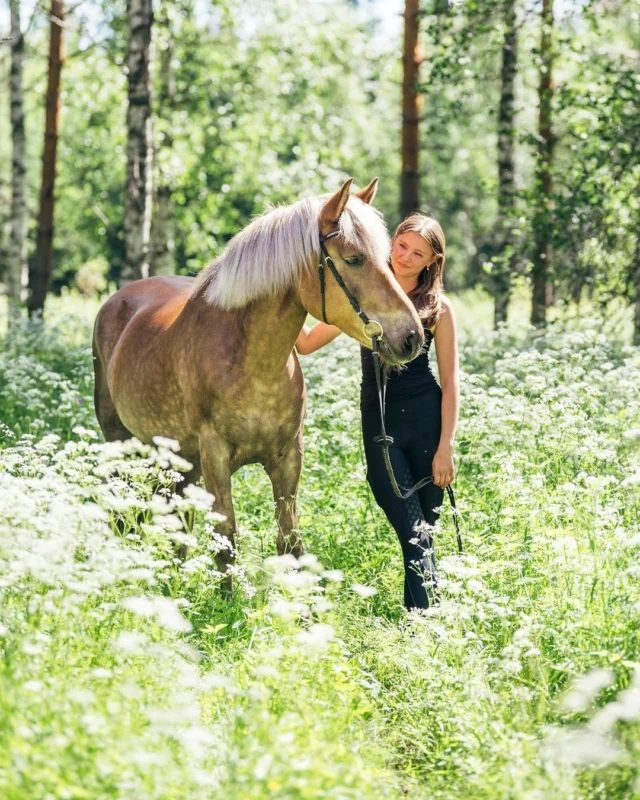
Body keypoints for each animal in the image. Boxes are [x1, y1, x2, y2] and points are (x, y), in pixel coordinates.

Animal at [92, 178, 424, 586]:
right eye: (353, 259)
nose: (411, 337)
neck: (252, 364)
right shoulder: (215, 457)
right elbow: (226, 539)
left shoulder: (288, 458)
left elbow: (290, 541)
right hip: (123, 444)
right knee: (124, 512)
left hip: (180, 459)